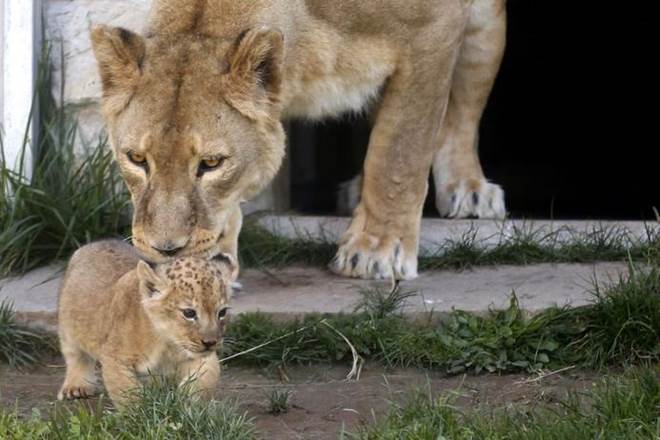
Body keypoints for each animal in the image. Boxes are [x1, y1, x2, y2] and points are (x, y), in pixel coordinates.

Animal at [57, 240, 234, 406]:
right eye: (189, 313)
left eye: (222, 312)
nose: (210, 342)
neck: (167, 343)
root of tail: (98, 242)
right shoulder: (115, 356)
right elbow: (127, 393)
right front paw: (141, 412)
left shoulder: (203, 358)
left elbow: (203, 381)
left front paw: (187, 404)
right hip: (67, 329)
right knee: (75, 356)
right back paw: (76, 386)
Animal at [90, 0, 506, 280]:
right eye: (136, 159)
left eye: (211, 163)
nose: (166, 250)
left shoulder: (432, 29)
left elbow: (400, 153)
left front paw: (377, 251)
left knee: (462, 109)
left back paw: (469, 191)